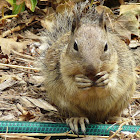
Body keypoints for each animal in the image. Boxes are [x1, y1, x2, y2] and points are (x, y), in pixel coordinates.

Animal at [41, 2, 136, 133]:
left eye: (106, 46)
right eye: (75, 46)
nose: (92, 69)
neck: (91, 78)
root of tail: (95, 119)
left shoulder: (117, 66)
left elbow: (113, 82)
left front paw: (105, 79)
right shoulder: (62, 68)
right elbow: (70, 85)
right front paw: (79, 82)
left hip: (123, 98)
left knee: (110, 114)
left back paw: (116, 119)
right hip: (65, 104)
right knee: (75, 113)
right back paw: (77, 119)